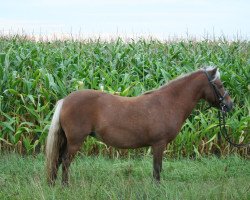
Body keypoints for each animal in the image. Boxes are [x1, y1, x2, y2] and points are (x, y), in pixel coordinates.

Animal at [46, 66, 233, 185]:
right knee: (65, 161)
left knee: (58, 160)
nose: (230, 105)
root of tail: (66, 100)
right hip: (75, 141)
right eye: (220, 85)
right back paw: (65, 186)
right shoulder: (159, 144)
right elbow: (157, 169)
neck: (168, 102)